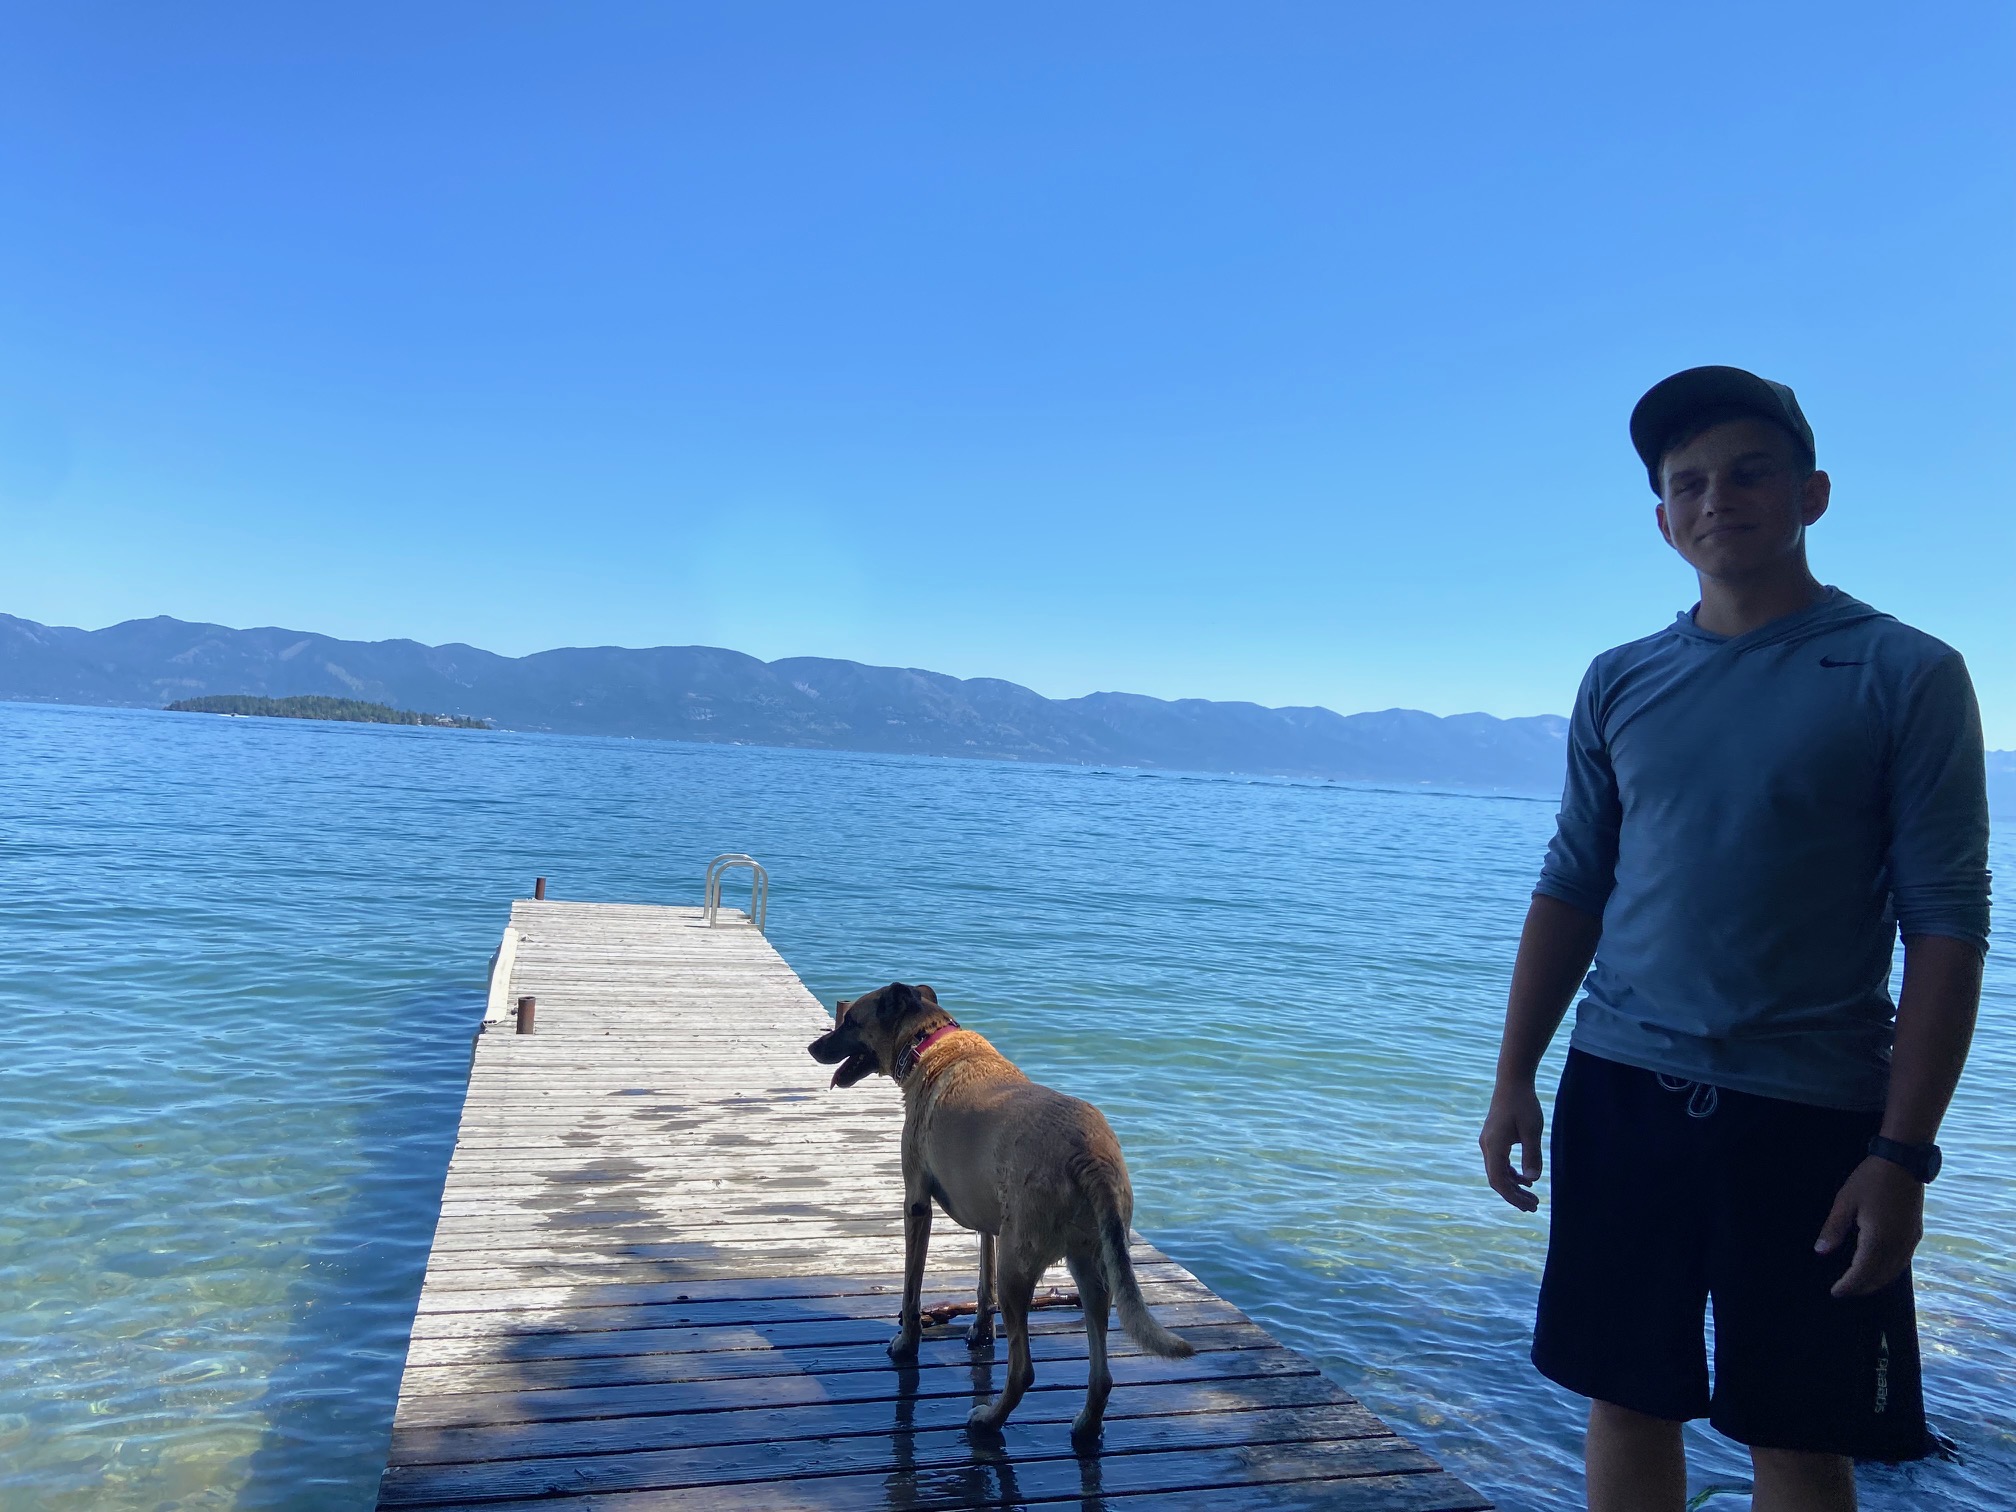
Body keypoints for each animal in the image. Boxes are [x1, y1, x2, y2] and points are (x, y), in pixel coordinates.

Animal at [802, 983, 1185, 1443]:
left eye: (852, 1022)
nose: (812, 1047)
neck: (929, 1042)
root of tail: (1089, 1155)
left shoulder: (916, 1203)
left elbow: (912, 1290)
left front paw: (906, 1343)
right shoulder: (989, 1221)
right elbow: (983, 1280)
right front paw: (981, 1330)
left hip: (1018, 1268)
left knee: (1023, 1370)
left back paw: (988, 1419)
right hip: (1089, 1265)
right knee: (1102, 1371)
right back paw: (1086, 1426)